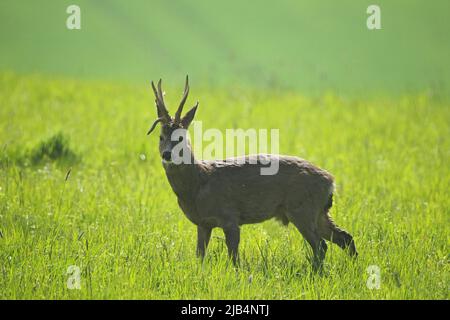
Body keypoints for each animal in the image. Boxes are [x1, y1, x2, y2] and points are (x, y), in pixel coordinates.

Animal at [146, 76, 356, 268]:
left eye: (181, 137)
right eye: (161, 136)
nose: (166, 154)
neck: (197, 184)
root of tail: (331, 181)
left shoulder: (230, 216)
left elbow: (234, 257)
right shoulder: (203, 223)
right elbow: (200, 257)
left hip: (303, 208)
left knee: (321, 246)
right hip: (319, 212)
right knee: (345, 237)